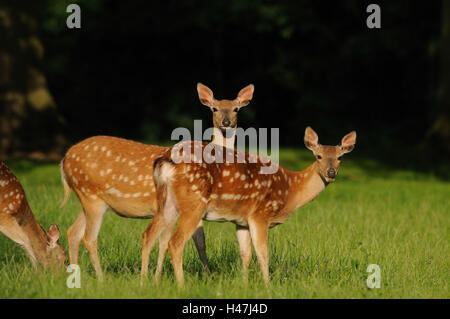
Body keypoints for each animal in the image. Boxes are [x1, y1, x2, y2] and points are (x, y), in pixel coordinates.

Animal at [60, 83, 253, 282]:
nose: (226, 122)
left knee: (73, 232)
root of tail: (64, 160)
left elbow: (187, 242)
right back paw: (101, 279)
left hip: (89, 199)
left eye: (236, 109)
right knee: (89, 238)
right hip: (90, 194)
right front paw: (161, 278)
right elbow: (187, 242)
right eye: (214, 108)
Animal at [149, 127, 358, 288]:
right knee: (175, 242)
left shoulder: (241, 220)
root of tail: (165, 159)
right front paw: (268, 286)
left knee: (153, 236)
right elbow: (263, 253)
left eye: (340, 157)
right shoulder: (260, 214)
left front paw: (244, 285)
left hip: (166, 203)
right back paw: (181, 286)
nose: (331, 173)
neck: (290, 191)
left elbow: (246, 254)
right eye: (318, 156)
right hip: (193, 203)